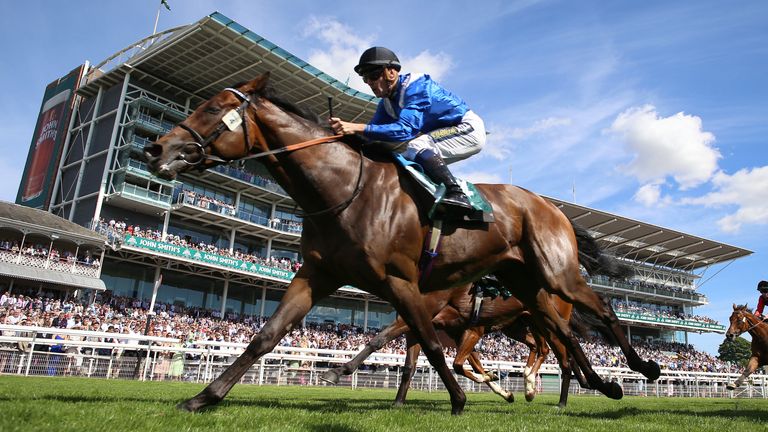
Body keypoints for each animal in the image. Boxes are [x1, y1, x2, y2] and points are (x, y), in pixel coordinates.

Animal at [142, 72, 660, 414]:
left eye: (212, 109)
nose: (156, 148)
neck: (344, 189)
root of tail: (552, 207)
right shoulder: (317, 273)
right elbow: (266, 336)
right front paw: (204, 397)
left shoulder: (404, 284)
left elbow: (427, 344)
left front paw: (458, 399)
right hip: (528, 287)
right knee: (565, 336)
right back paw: (601, 386)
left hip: (557, 274)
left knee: (602, 313)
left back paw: (642, 368)